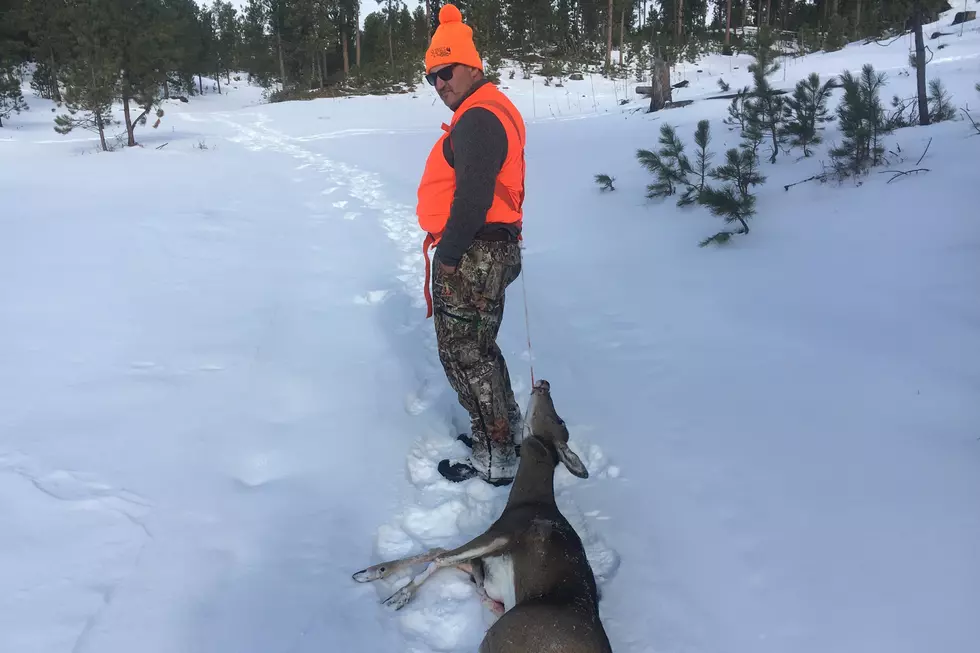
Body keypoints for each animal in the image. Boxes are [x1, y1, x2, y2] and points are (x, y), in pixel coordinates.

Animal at [352, 379, 613, 653]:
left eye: (560, 420)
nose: (545, 383)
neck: (529, 501)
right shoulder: (488, 571)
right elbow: (439, 552)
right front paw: (372, 573)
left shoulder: (502, 532)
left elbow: (440, 556)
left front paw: (395, 593)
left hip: (500, 636)